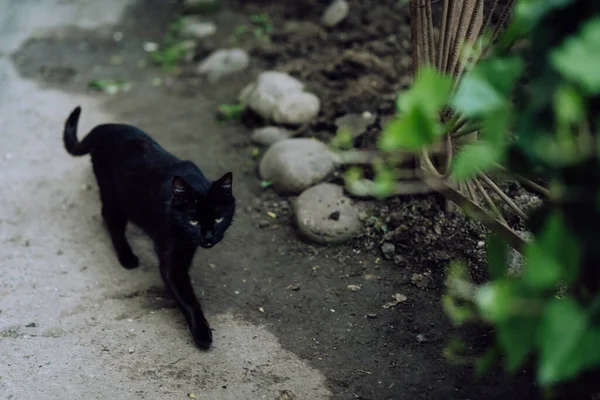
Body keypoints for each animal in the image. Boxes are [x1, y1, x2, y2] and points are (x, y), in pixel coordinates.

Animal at [63, 107, 236, 350]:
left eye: (219, 218)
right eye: (193, 221)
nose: (208, 237)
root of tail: (106, 127)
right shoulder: (172, 262)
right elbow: (188, 299)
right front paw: (202, 333)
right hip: (113, 193)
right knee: (111, 218)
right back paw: (127, 257)